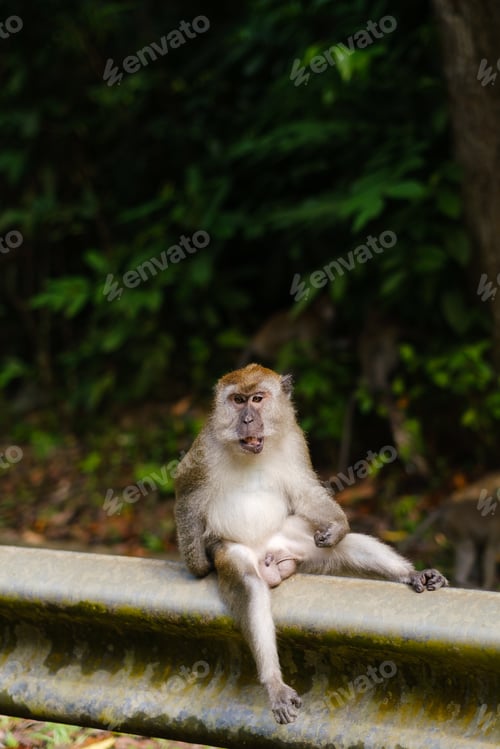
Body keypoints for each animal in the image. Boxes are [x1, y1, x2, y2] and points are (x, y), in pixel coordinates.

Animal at [174, 364, 448, 725]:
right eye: (237, 400)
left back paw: (412, 575)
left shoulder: (293, 440)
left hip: (292, 541)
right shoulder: (204, 450)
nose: (246, 419)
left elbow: (306, 490)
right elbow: (186, 493)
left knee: (343, 546)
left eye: (257, 399)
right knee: (249, 585)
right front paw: (198, 565)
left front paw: (339, 526)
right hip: (240, 554)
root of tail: (268, 553)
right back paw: (274, 683)